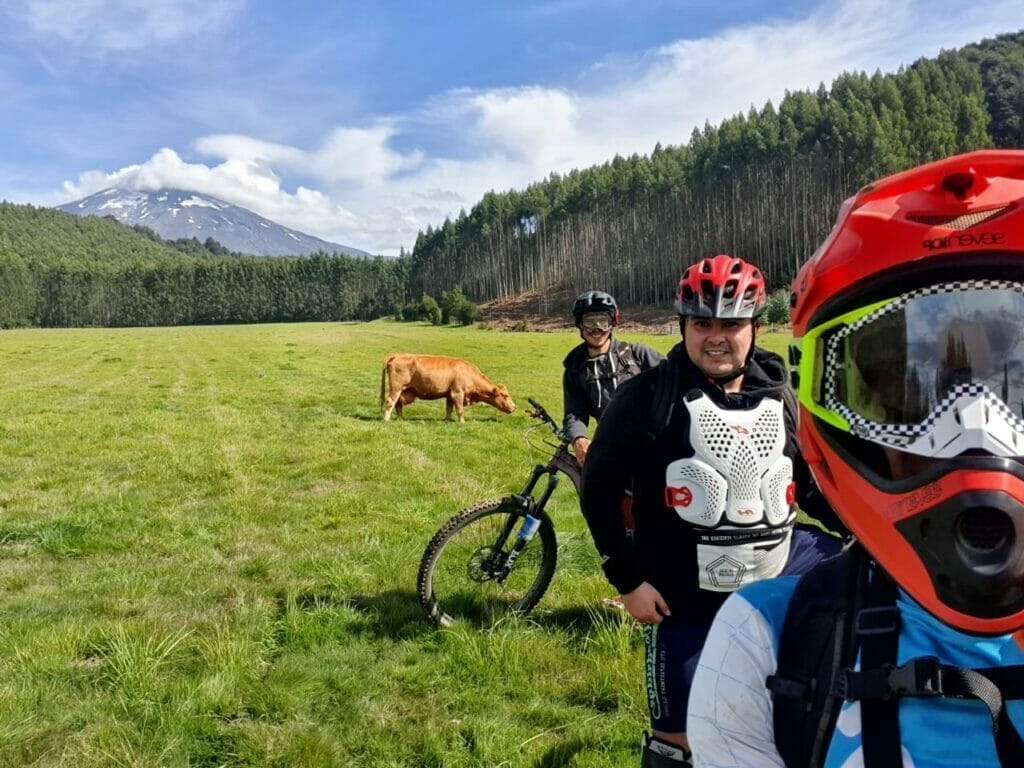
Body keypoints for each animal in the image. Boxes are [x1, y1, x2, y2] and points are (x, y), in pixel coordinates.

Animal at [380, 354, 516, 421]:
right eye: (505, 395)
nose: (514, 407)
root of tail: (397, 355)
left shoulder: (449, 395)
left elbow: (449, 409)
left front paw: (447, 420)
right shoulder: (458, 393)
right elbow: (460, 410)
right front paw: (462, 423)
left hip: (402, 390)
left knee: (398, 404)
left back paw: (401, 418)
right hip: (396, 389)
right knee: (390, 402)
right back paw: (386, 420)